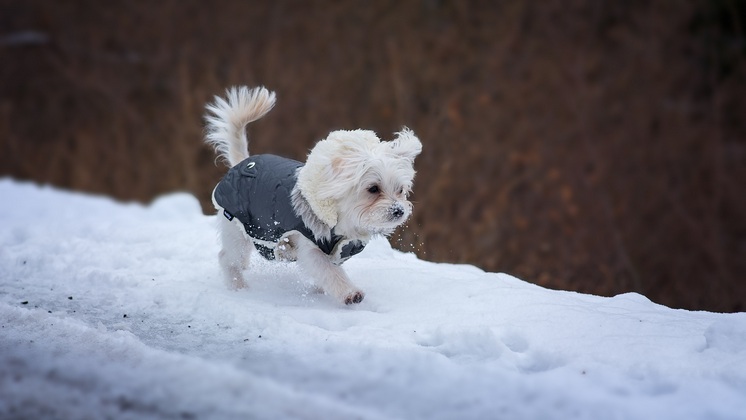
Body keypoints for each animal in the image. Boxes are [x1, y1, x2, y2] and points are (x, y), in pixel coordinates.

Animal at [203, 86, 422, 306]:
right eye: (373, 189)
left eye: (400, 190)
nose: (399, 210)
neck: (342, 220)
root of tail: (241, 163)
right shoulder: (311, 247)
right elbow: (329, 271)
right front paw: (350, 293)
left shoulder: (337, 251)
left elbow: (326, 274)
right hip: (237, 229)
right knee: (227, 258)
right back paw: (238, 286)